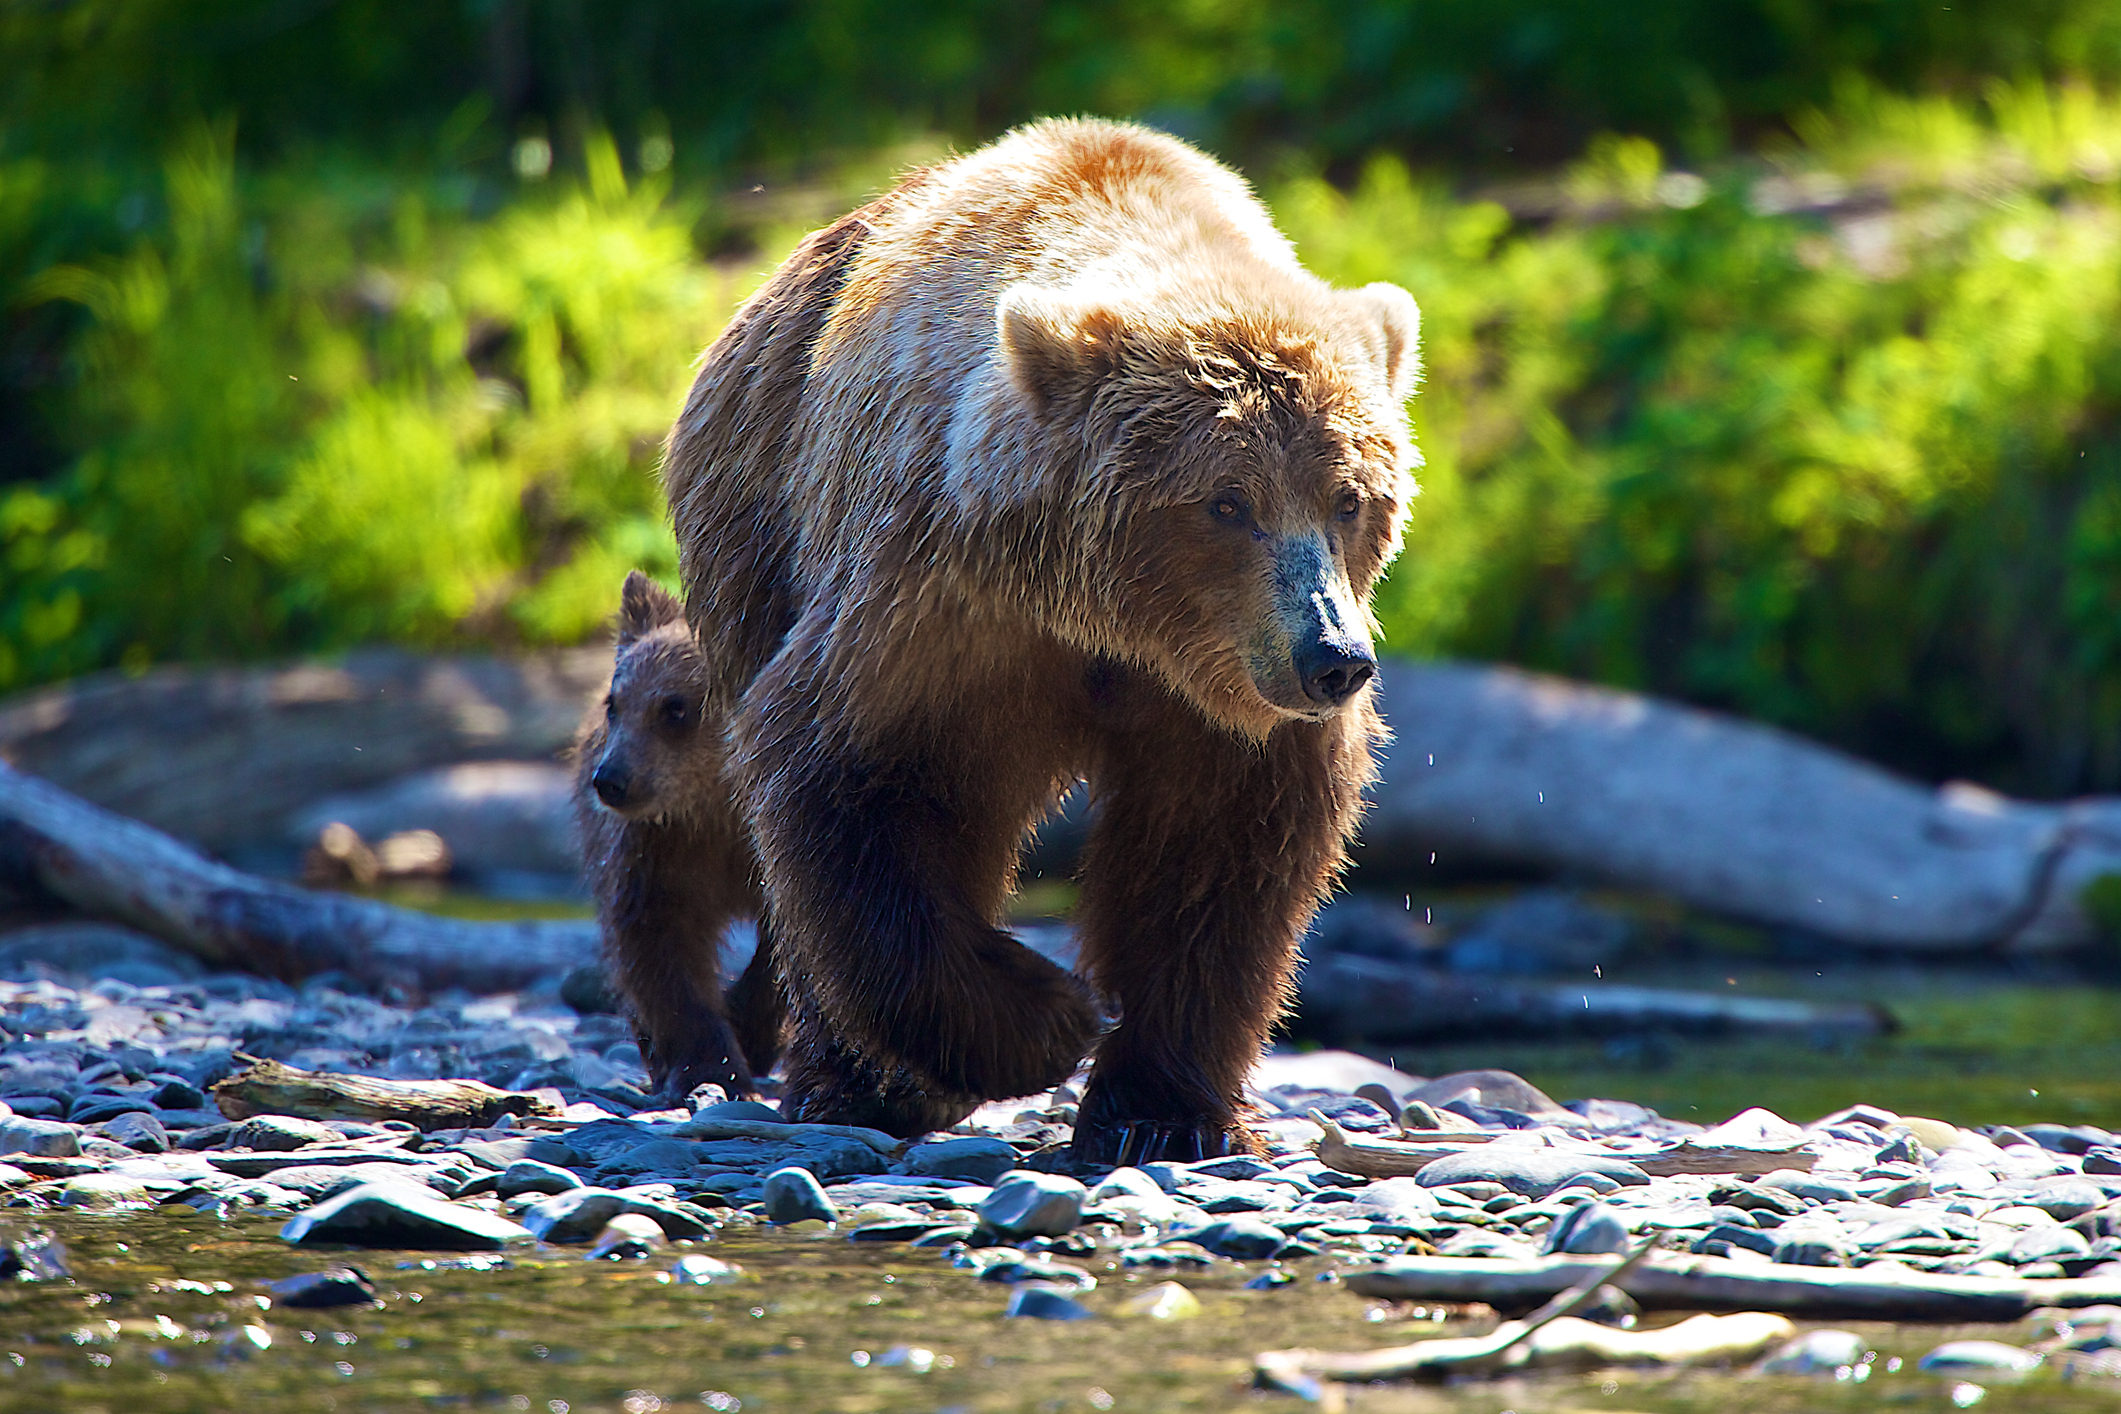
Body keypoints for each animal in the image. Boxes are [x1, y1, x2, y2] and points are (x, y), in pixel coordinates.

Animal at [572, 568, 780, 1102]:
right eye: (615, 704)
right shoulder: (658, 850)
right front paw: (711, 1066)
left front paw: (750, 1030)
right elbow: (658, 946)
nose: (611, 780)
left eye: (675, 707)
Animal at [657, 118, 1425, 1161]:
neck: (1118, 625)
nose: (1332, 659)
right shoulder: (940, 603)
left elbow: (1217, 853)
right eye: (1227, 502)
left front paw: (1158, 1111)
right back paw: (853, 1083)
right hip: (758, 523)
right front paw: (1048, 1019)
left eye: (1348, 499)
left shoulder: (1219, 696)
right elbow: (853, 780)